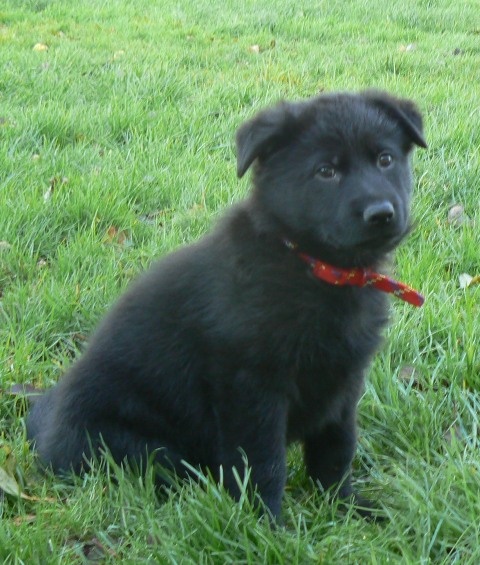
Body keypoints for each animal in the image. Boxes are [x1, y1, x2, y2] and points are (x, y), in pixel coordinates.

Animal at [27, 90, 426, 520]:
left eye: (385, 159)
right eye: (325, 171)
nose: (381, 213)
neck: (312, 267)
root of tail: (47, 434)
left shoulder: (344, 382)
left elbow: (336, 450)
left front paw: (346, 506)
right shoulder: (250, 387)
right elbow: (262, 461)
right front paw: (266, 523)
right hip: (146, 449)